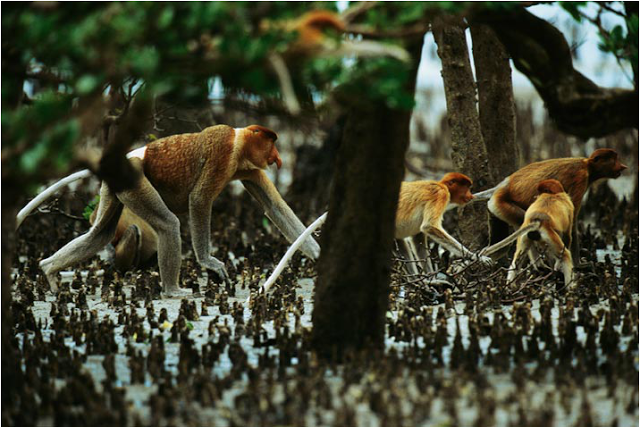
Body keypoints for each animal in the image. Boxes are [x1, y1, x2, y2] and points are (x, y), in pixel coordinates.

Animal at [20, 124, 320, 298]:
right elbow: (199, 200)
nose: (278, 158)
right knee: (168, 225)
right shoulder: (223, 153)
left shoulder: (248, 168)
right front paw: (209, 263)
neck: (239, 141)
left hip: (114, 188)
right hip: (135, 181)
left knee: (99, 234)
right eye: (271, 142)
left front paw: (318, 253)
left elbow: (274, 207)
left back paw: (48, 270)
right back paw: (173, 291)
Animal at [472, 149, 628, 260]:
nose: (623, 166)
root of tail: (502, 186)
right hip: (502, 205)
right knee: (525, 222)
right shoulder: (581, 178)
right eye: (614, 160)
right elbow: (571, 221)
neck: (587, 165)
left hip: (494, 209)